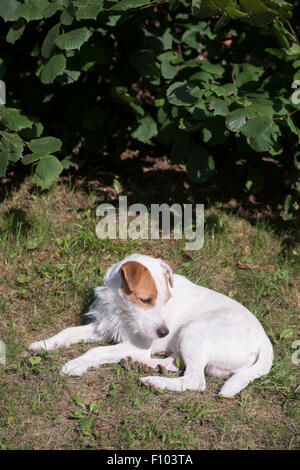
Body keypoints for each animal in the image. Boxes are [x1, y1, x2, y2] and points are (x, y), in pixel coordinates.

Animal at [28, 253, 274, 396]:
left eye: (166, 300)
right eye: (146, 300)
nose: (164, 332)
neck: (123, 310)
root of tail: (265, 341)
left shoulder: (137, 344)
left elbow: (97, 351)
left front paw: (75, 364)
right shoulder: (104, 327)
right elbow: (68, 332)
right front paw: (44, 344)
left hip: (194, 331)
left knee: (195, 380)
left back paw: (154, 381)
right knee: (176, 364)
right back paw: (146, 365)